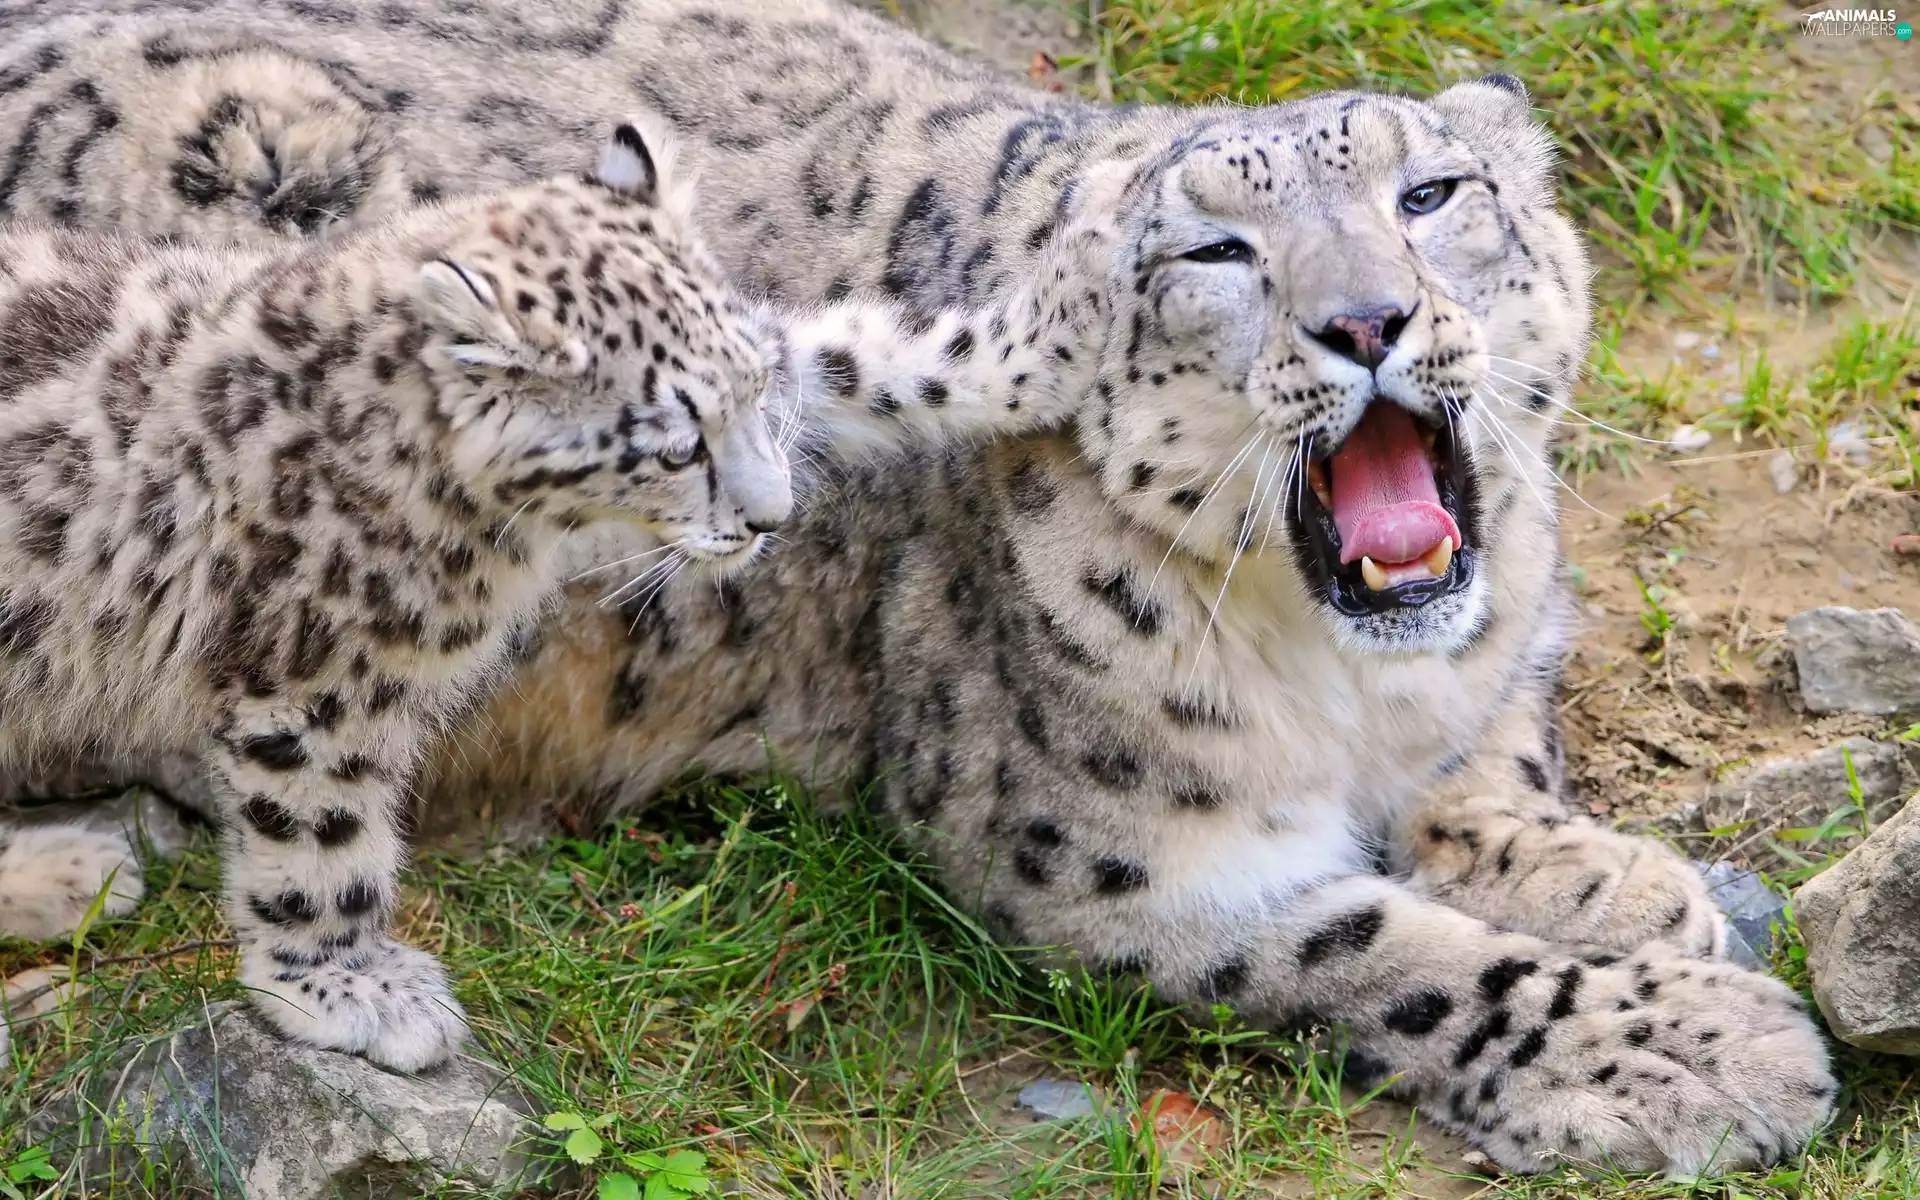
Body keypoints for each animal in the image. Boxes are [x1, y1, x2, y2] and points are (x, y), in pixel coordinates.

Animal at [0, 115, 1111, 1067]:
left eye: (757, 390)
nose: (771, 518)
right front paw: (351, 989)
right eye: (674, 446)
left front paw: (1068, 313)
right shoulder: (317, 683)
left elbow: (838, 355)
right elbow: (322, 841)